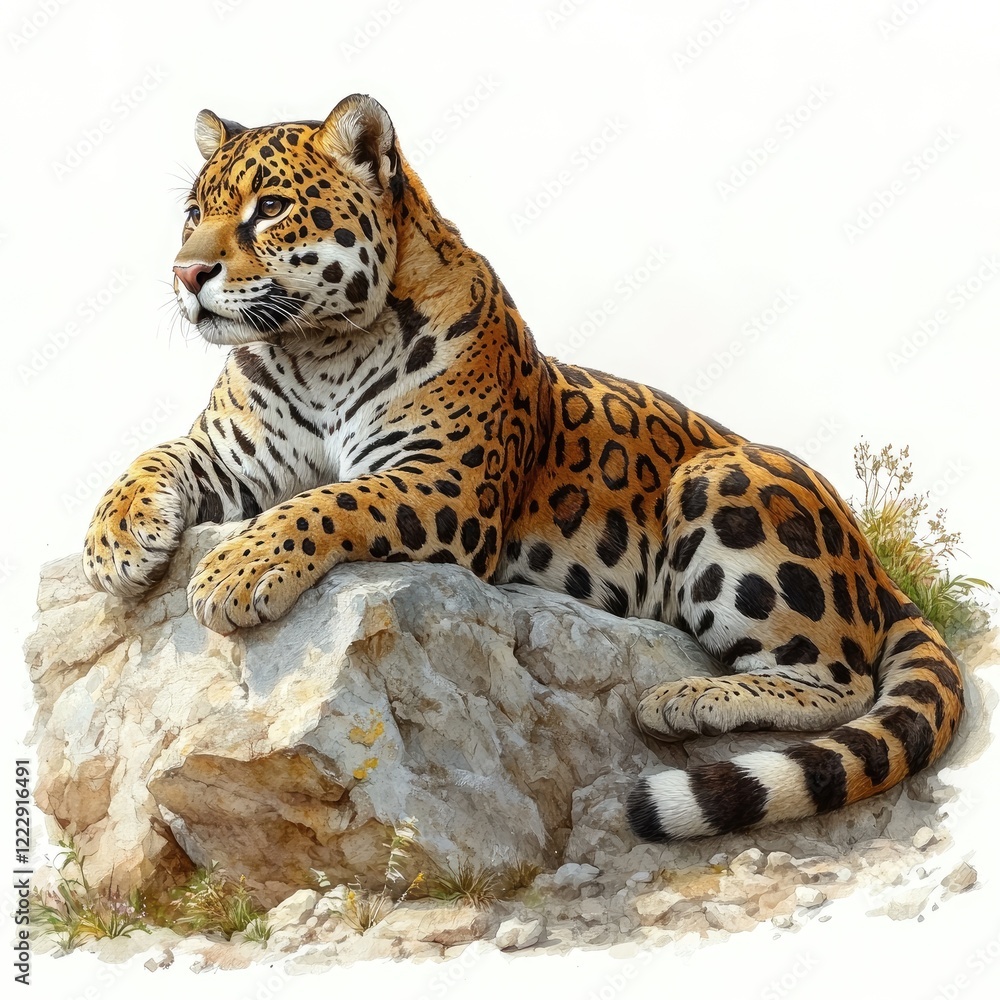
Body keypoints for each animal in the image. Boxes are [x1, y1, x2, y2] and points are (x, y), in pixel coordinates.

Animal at [84, 94, 963, 842]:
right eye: (193, 214)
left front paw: (237, 570)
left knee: (841, 677)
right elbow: (154, 455)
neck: (317, 350)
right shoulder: (235, 458)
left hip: (721, 481)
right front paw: (115, 544)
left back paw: (687, 698)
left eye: (269, 208)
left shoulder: (445, 485)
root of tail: (874, 563)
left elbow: (334, 499)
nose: (187, 275)